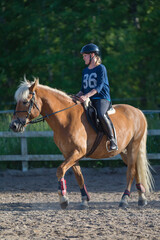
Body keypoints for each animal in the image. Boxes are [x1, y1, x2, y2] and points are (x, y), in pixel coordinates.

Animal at [9, 78, 154, 208]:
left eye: (25, 102)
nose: (13, 126)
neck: (66, 119)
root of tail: (138, 111)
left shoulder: (78, 152)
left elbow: (60, 170)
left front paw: (63, 199)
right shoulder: (69, 154)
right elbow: (79, 176)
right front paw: (84, 200)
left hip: (134, 146)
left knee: (131, 171)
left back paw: (124, 199)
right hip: (124, 151)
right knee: (135, 169)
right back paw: (141, 198)